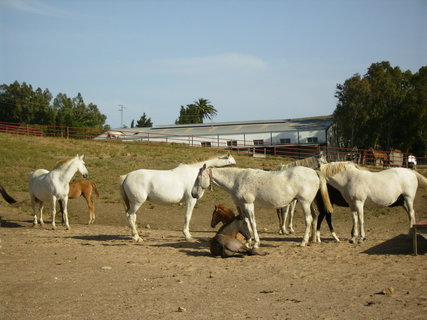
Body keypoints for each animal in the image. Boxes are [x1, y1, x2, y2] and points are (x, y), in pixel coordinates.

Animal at [193, 165, 334, 248]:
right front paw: (248, 241)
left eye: (198, 178)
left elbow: (253, 223)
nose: (193, 194)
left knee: (308, 220)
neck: (237, 180)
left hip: (304, 202)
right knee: (314, 217)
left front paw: (256, 242)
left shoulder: (249, 205)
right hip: (309, 203)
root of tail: (314, 172)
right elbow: (246, 222)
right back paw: (312, 240)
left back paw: (304, 242)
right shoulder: (242, 206)